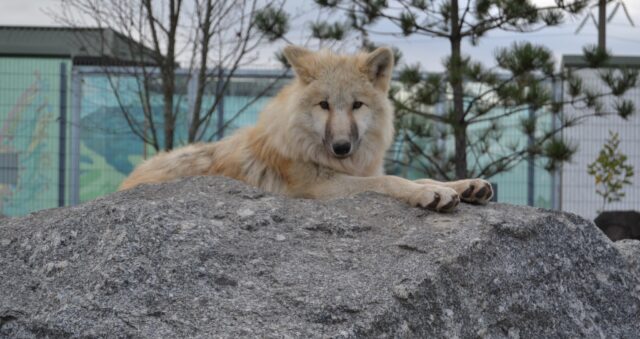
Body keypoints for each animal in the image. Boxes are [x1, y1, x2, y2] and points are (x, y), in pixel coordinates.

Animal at [119, 45, 490, 212]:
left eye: (356, 105)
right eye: (323, 105)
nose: (341, 147)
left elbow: (422, 176)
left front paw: (466, 185)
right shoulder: (320, 188)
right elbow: (392, 180)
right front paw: (430, 195)